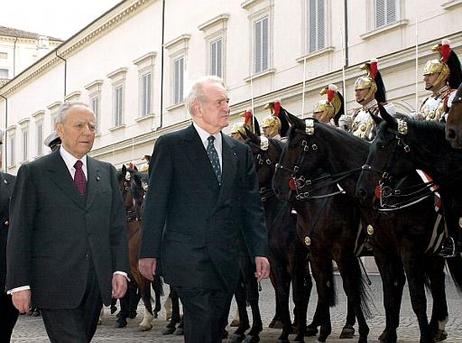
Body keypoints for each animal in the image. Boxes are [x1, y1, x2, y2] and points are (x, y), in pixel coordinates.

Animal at [272, 118, 370, 343]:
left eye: (295, 145)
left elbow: (348, 288)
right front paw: (321, 330)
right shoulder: (316, 252)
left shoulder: (338, 252)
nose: (277, 186)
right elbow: (321, 287)